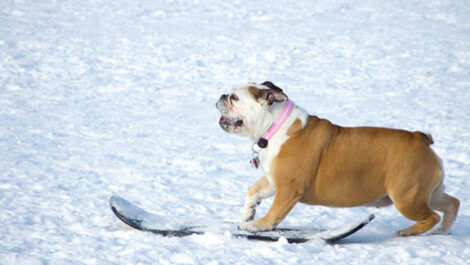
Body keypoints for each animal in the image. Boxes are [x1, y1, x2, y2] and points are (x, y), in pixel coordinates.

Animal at [217, 81, 458, 235]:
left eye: (235, 97)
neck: (274, 125)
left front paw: (256, 225)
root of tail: (420, 138)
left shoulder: (288, 188)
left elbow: (275, 213)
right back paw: (442, 232)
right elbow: (253, 191)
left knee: (431, 216)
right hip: (426, 193)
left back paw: (408, 232)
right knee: (452, 204)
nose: (221, 95)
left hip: (406, 197)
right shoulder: (273, 179)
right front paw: (248, 213)